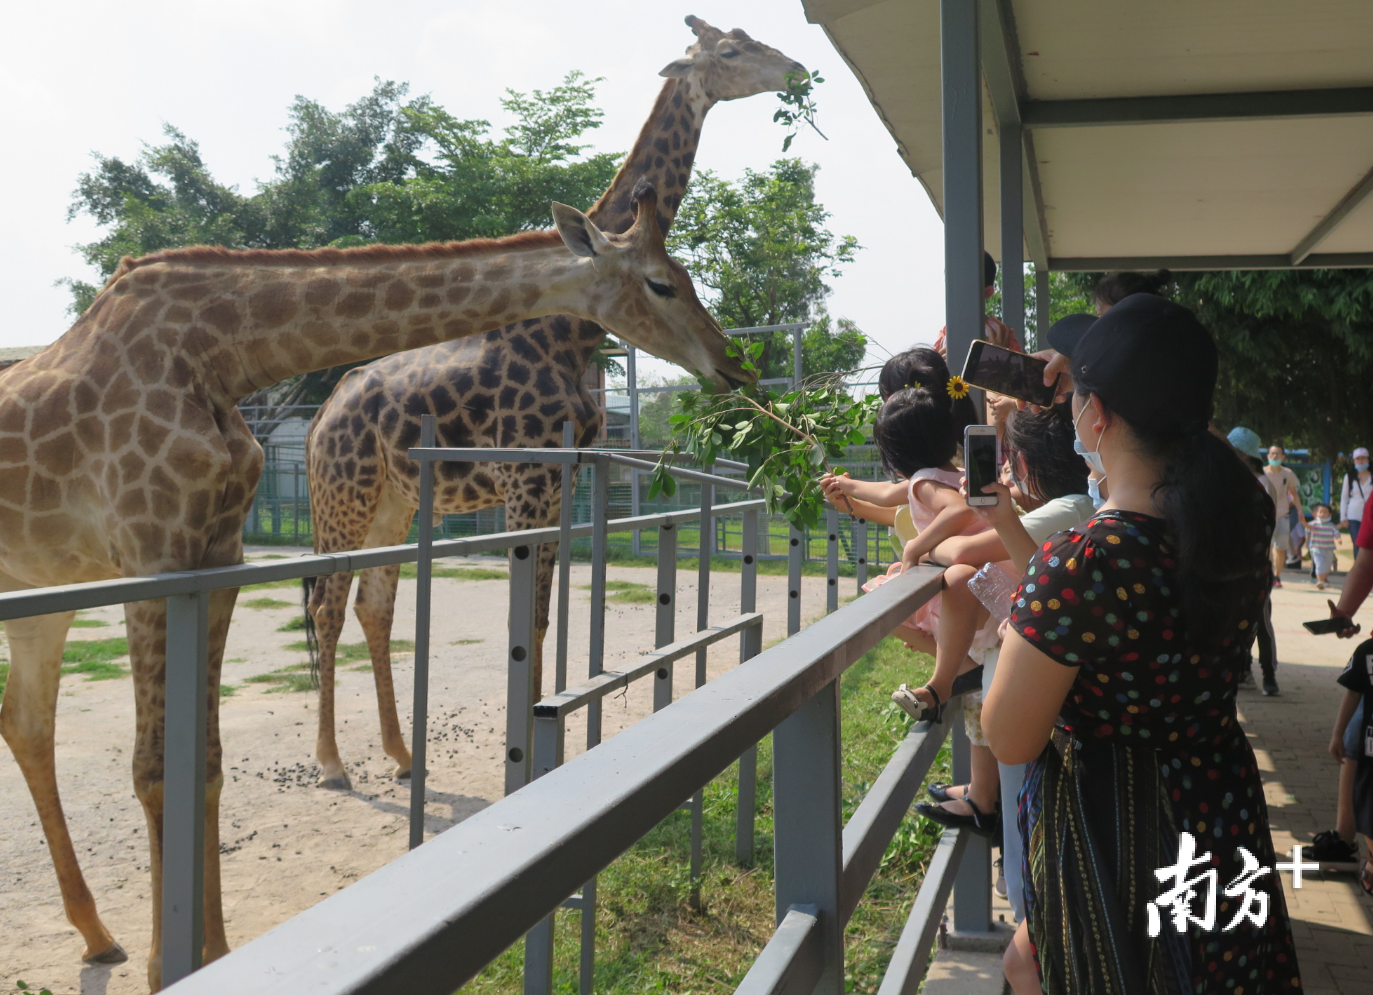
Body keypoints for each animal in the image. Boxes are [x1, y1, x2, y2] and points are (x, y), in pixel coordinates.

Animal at [0, 183, 752, 988]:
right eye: (661, 282)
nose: (732, 365)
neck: (219, 356)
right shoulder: (154, 558)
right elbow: (154, 768)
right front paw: (164, 968)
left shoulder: (215, 561)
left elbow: (203, 762)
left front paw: (216, 954)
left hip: (41, 590)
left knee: (27, 722)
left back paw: (95, 931)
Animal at [297, 13, 796, 790]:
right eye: (731, 50)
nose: (795, 70)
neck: (569, 328)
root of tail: (321, 416)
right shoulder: (525, 482)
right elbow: (522, 627)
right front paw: (524, 767)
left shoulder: (564, 479)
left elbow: (538, 622)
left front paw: (535, 759)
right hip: (341, 497)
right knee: (326, 603)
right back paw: (331, 763)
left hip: (392, 503)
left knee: (374, 605)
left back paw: (403, 757)